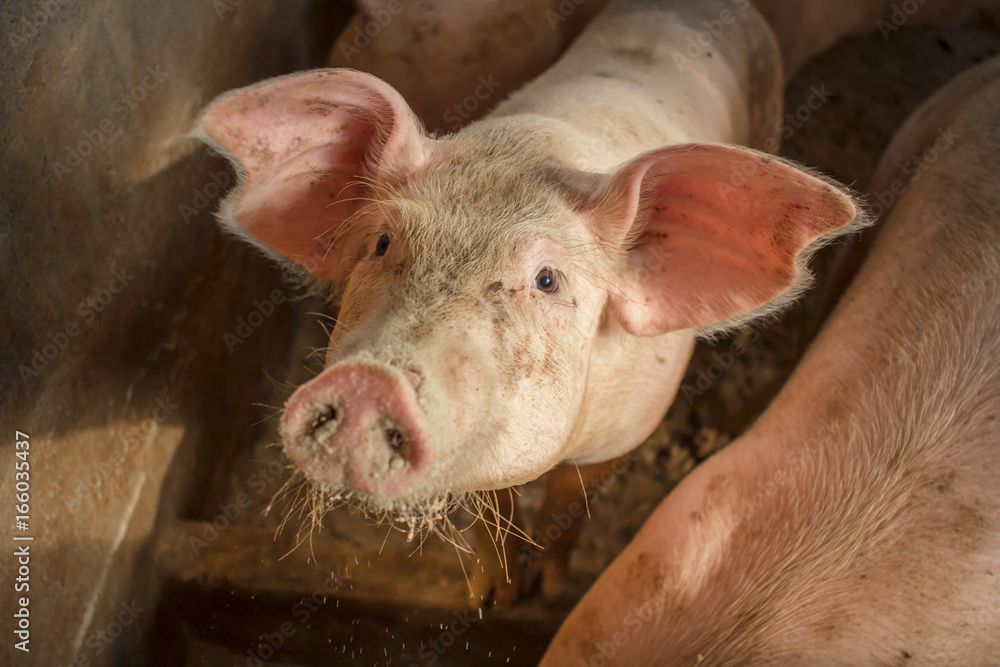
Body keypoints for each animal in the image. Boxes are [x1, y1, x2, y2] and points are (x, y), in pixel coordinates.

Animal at [196, 0, 862, 606]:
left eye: (547, 280)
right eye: (382, 242)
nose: (368, 382)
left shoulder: (631, 427)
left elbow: (572, 496)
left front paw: (547, 592)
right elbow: (497, 503)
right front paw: (492, 597)